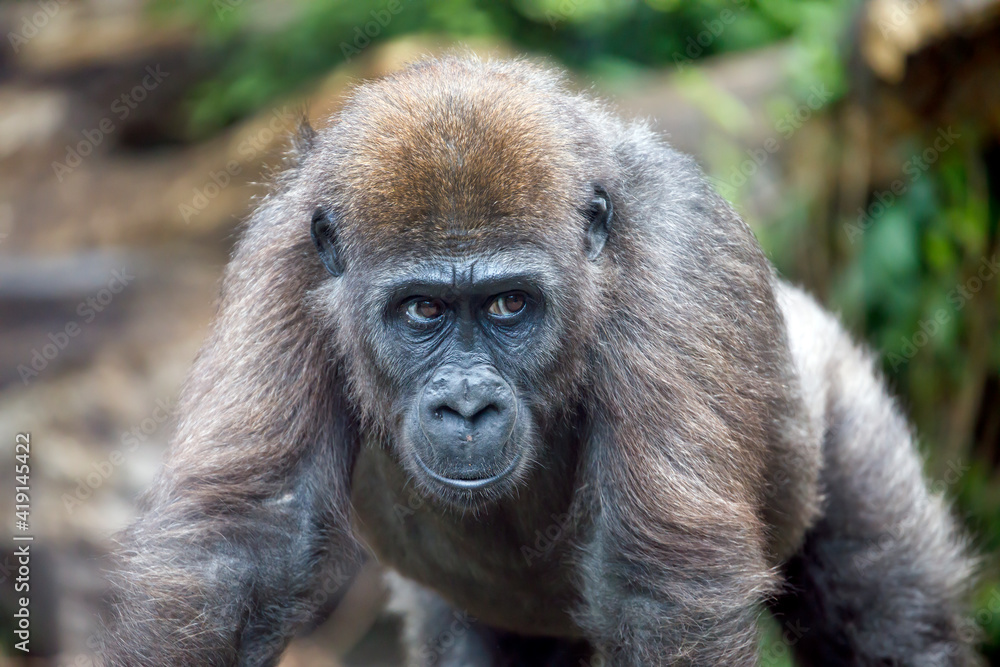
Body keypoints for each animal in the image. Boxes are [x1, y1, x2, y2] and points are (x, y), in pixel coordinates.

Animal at [102, 57, 979, 667]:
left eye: (509, 306)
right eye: (422, 310)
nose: (465, 407)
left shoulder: (678, 257)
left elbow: (668, 592)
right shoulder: (286, 251)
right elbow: (242, 545)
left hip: (837, 388)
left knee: (891, 613)